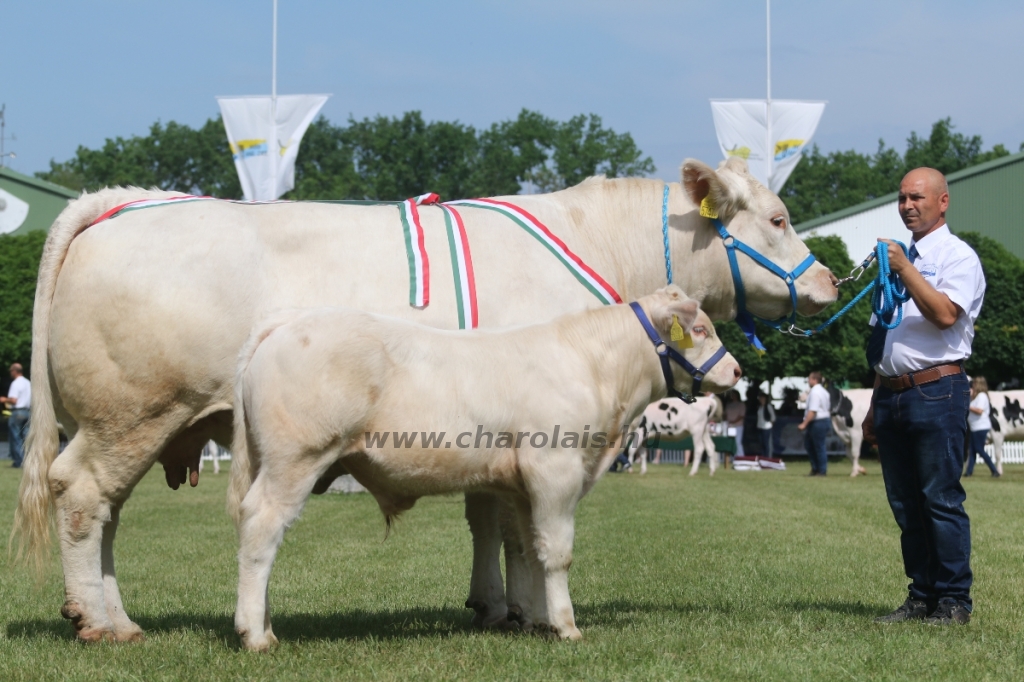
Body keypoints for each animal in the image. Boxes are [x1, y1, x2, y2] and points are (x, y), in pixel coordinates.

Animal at [228, 284, 741, 647]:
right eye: (699, 330)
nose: (736, 370)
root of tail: (288, 322)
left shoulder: (523, 487)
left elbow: (531, 550)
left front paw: (538, 619)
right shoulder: (556, 471)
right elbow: (559, 552)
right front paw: (567, 626)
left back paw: (265, 625)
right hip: (295, 460)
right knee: (262, 528)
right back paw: (255, 633)